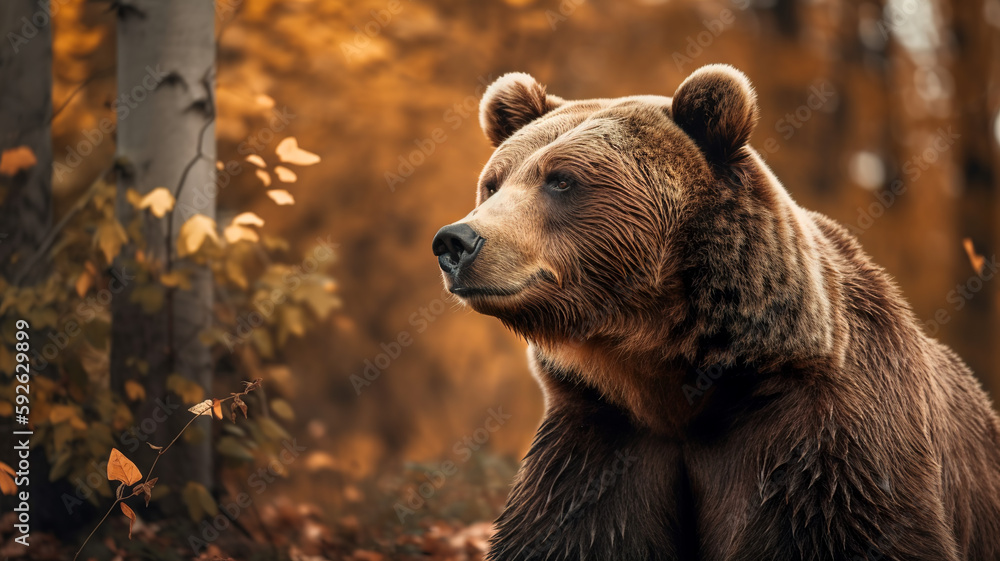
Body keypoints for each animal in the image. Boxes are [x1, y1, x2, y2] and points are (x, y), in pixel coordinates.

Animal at [431, 65, 1000, 561]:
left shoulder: (822, 440)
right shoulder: (602, 438)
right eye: (493, 182)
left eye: (561, 179)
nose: (456, 241)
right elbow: (568, 532)